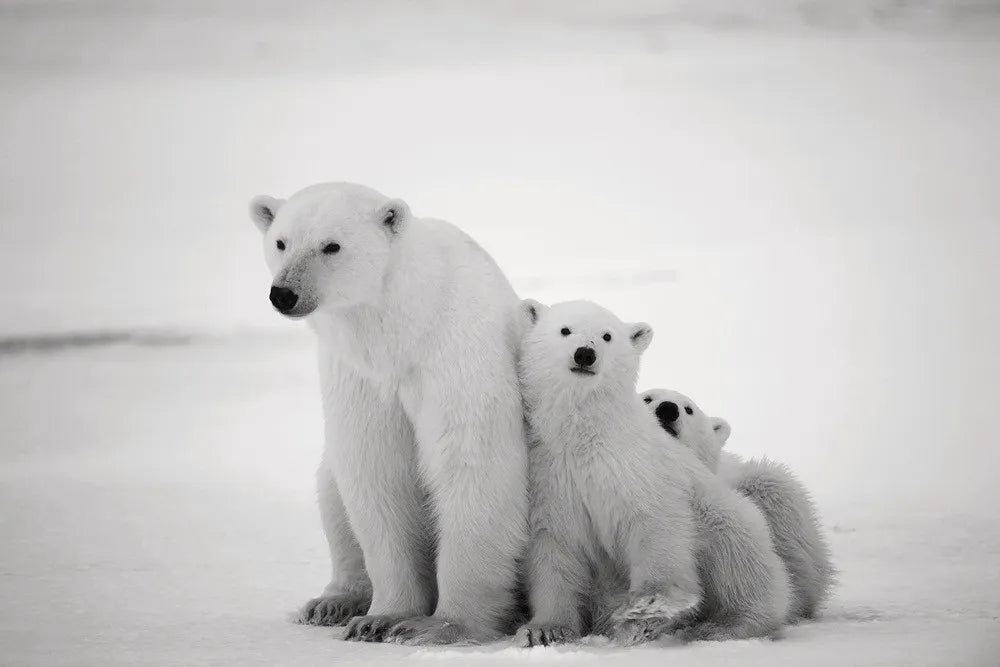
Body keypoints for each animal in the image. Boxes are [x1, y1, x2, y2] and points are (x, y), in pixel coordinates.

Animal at [249, 182, 529, 645]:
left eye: (331, 245)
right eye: (281, 242)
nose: (284, 293)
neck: (402, 329)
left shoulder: (457, 353)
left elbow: (472, 463)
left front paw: (439, 625)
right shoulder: (360, 375)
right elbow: (376, 470)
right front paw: (381, 618)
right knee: (331, 492)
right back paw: (333, 602)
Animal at [515, 299, 790, 647]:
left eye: (607, 336)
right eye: (565, 330)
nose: (585, 354)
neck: (584, 435)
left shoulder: (636, 466)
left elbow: (655, 523)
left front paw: (646, 609)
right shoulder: (551, 476)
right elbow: (554, 548)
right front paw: (544, 630)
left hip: (725, 516)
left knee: (739, 559)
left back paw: (723, 625)